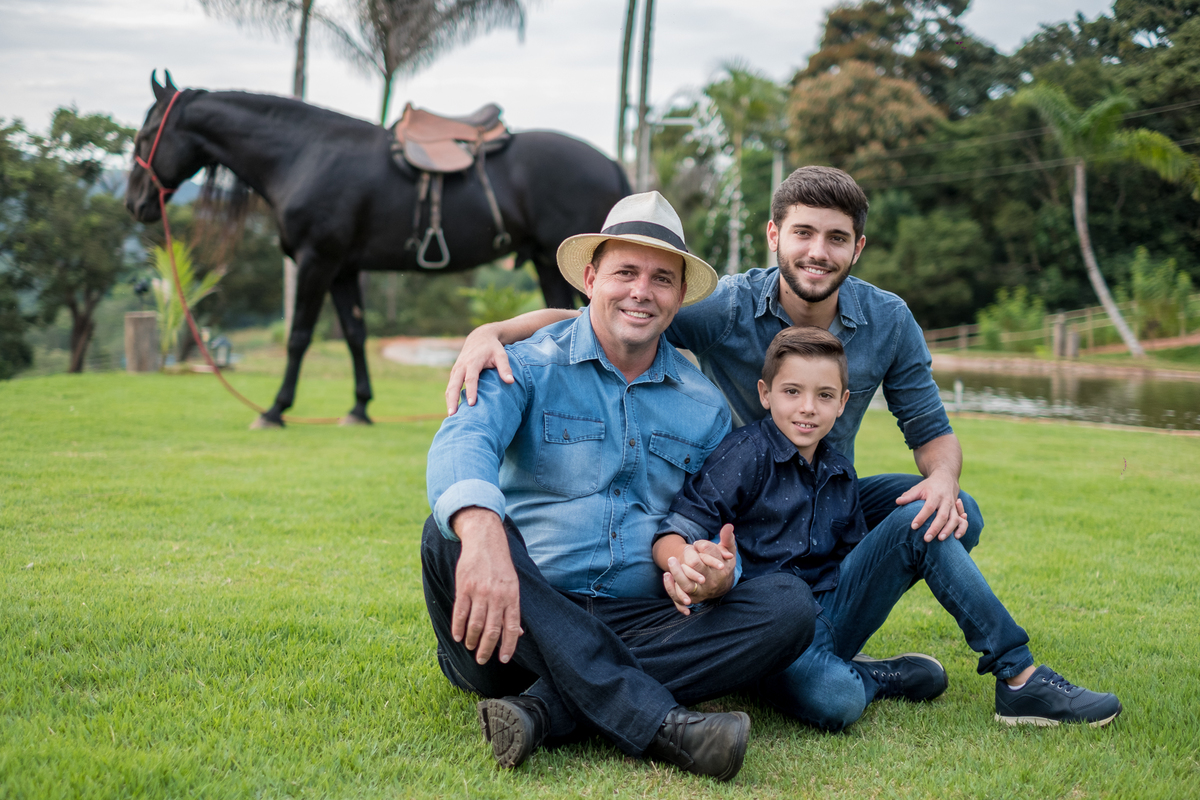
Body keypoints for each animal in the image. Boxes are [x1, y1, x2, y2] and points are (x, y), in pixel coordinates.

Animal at [125, 71, 630, 427]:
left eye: (147, 135)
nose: (135, 203)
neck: (306, 154)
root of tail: (609, 161)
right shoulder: (343, 269)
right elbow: (354, 333)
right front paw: (360, 408)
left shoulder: (317, 260)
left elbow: (299, 336)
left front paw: (275, 410)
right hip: (548, 262)